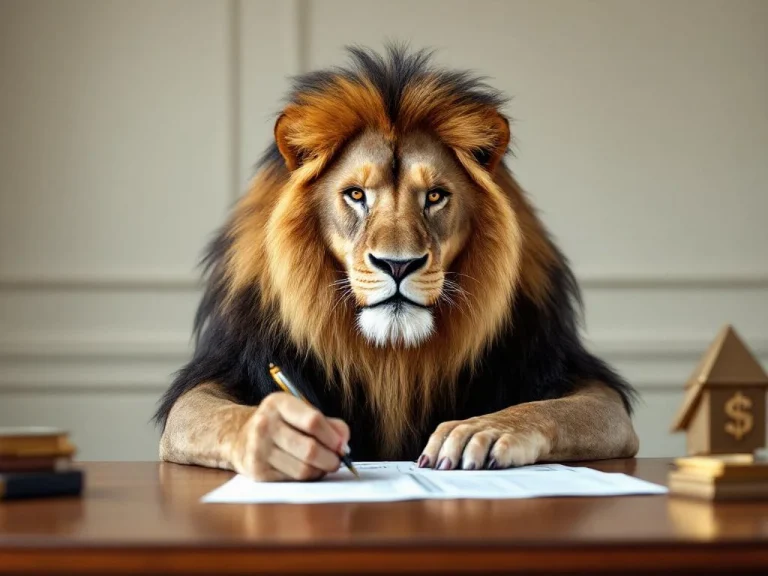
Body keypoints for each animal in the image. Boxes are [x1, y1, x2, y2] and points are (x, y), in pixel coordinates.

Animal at [154, 46, 639, 481]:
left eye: (435, 196)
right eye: (355, 194)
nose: (398, 265)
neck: (392, 361)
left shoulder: (571, 375)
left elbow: (545, 408)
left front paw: (478, 430)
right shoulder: (228, 366)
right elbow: (210, 414)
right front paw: (279, 434)